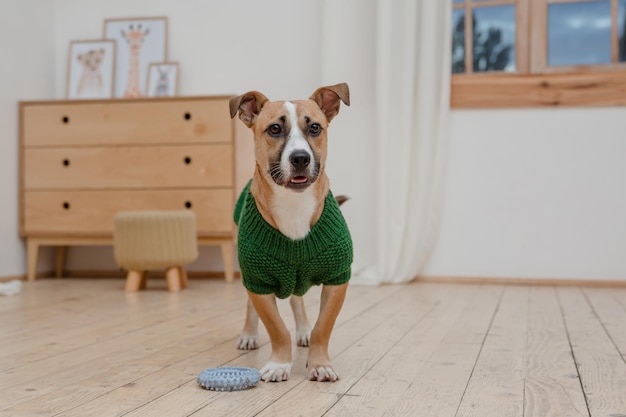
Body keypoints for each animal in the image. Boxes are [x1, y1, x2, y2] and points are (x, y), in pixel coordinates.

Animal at [230, 83, 352, 382]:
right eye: (274, 129)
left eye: (315, 128)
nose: (300, 158)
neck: (294, 203)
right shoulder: (257, 280)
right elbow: (276, 328)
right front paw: (279, 363)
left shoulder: (337, 279)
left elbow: (323, 326)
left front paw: (320, 363)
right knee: (251, 305)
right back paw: (249, 334)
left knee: (297, 299)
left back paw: (304, 330)